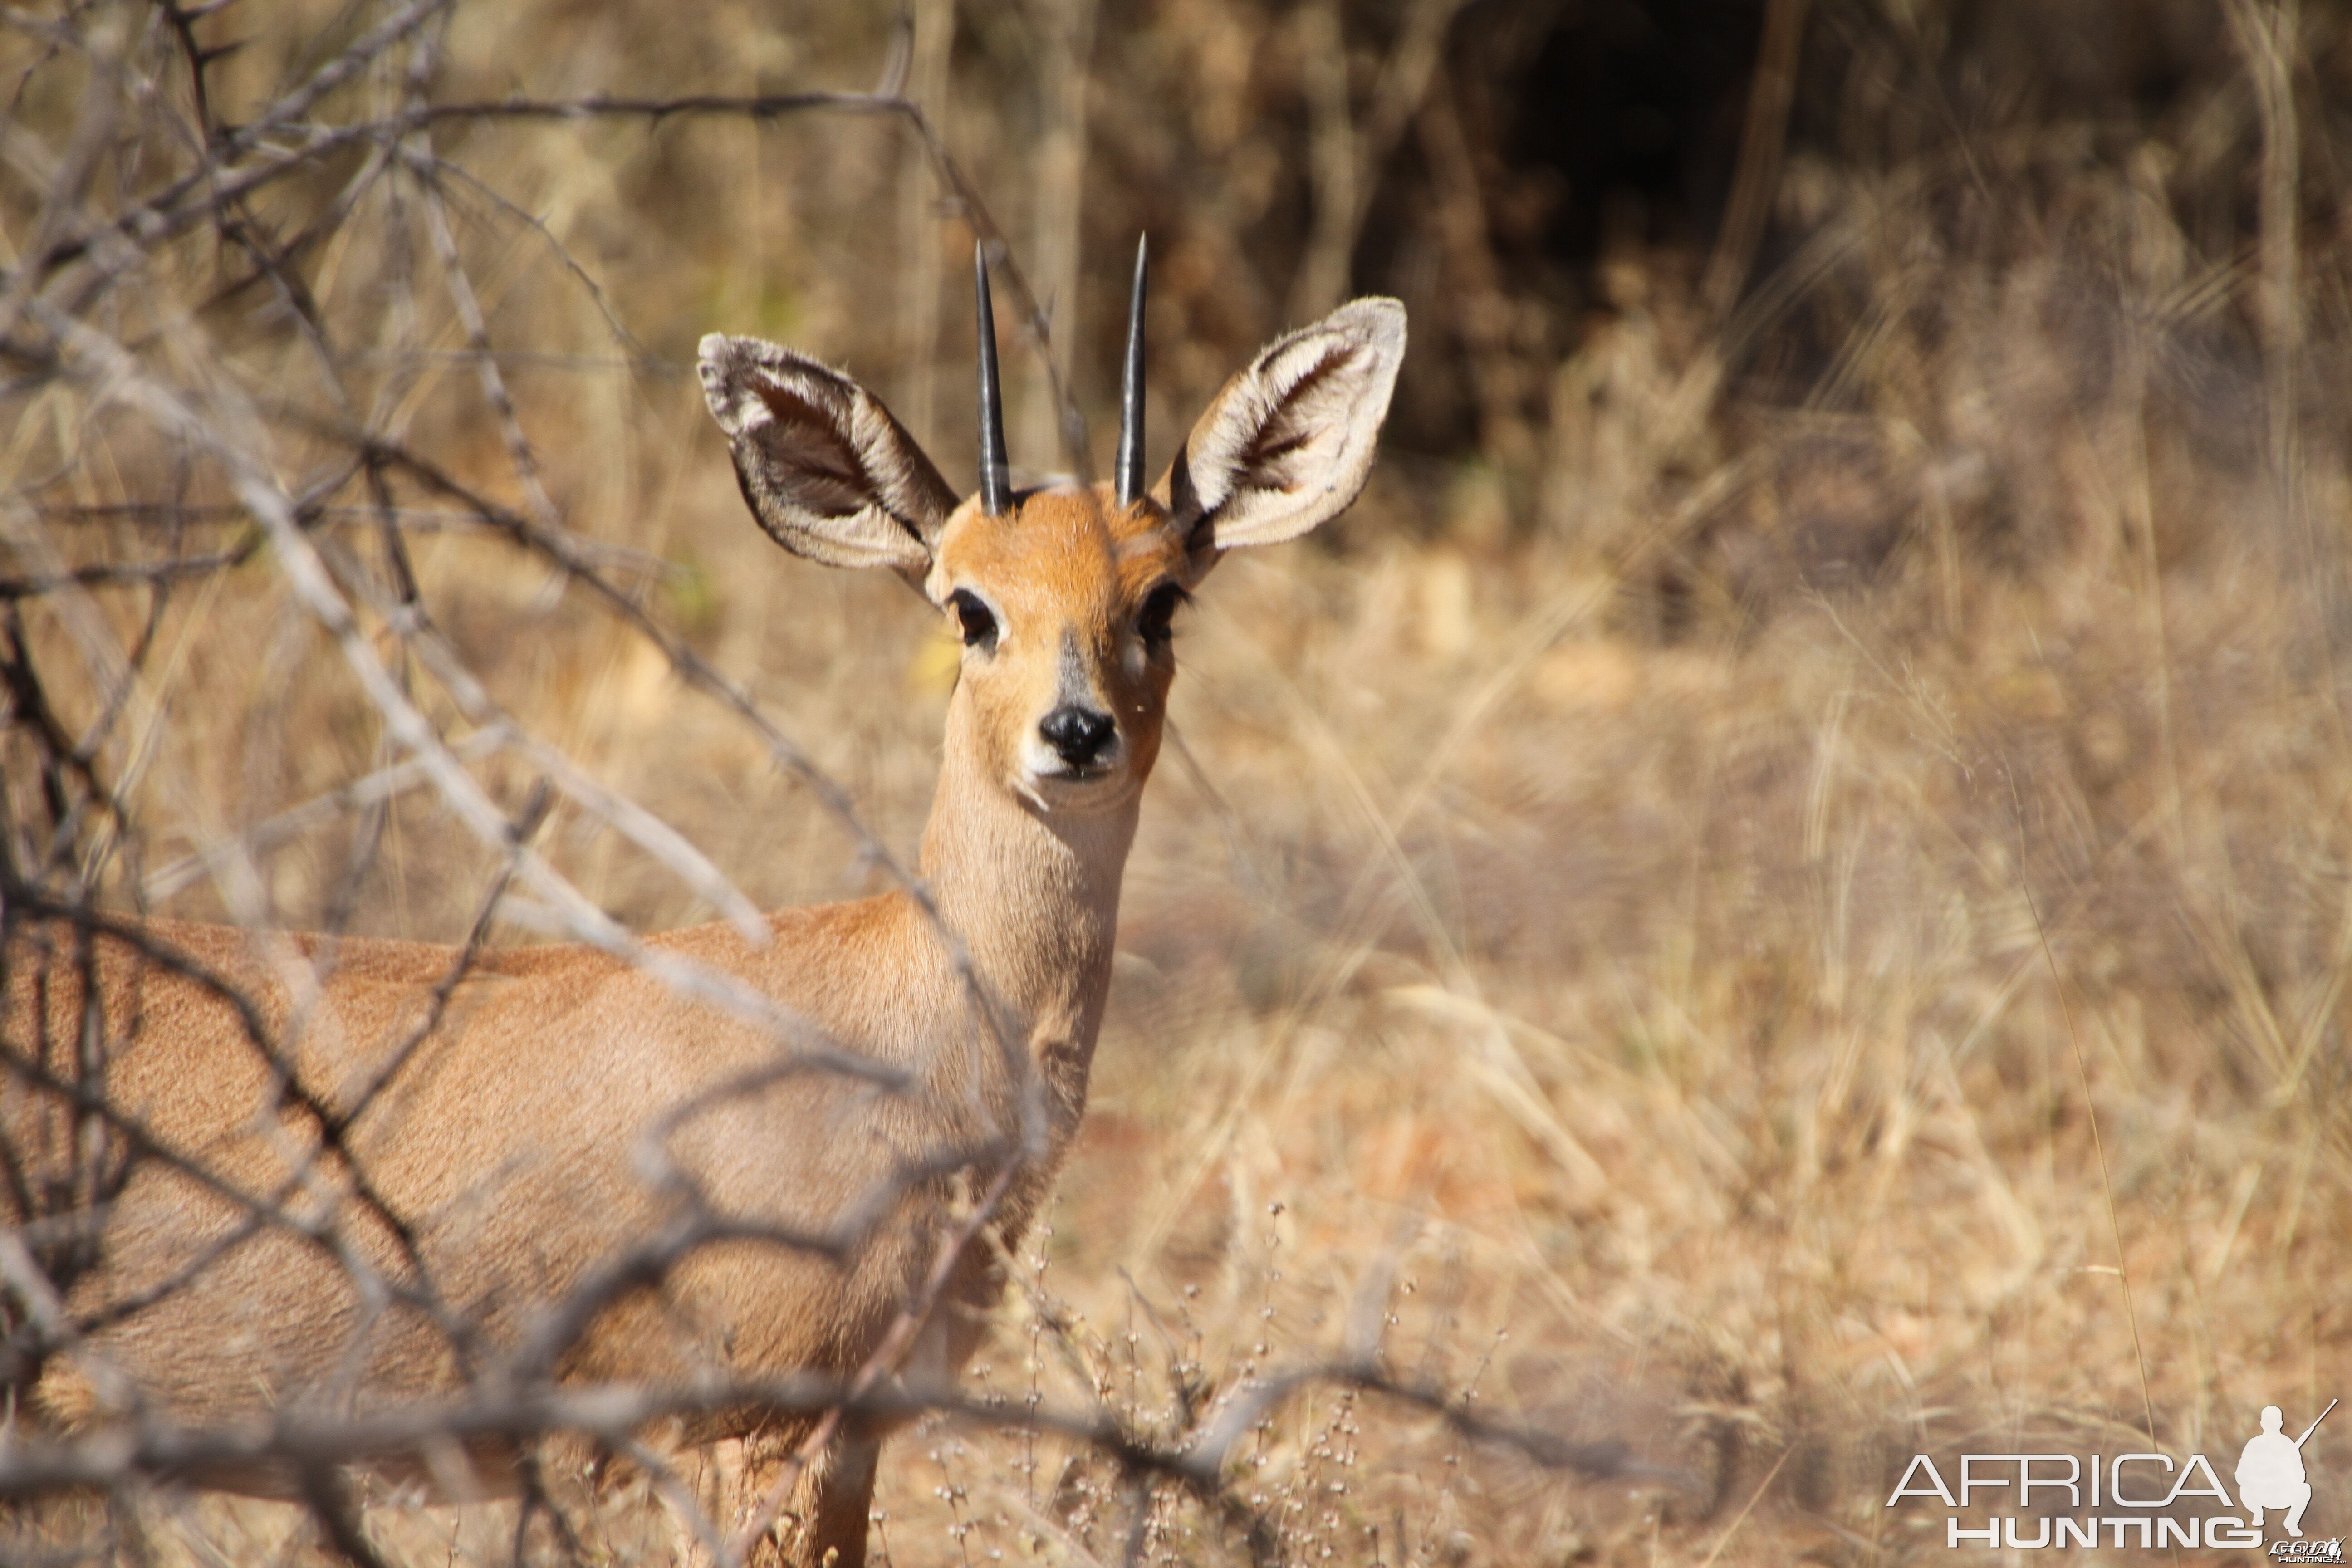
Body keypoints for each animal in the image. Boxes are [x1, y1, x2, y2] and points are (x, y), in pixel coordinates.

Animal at [0, 240, 1401, 1561]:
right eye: (969, 605)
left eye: (1161, 596)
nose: (1076, 732)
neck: (907, 1026)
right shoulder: (758, 1421)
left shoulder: (854, 1425)